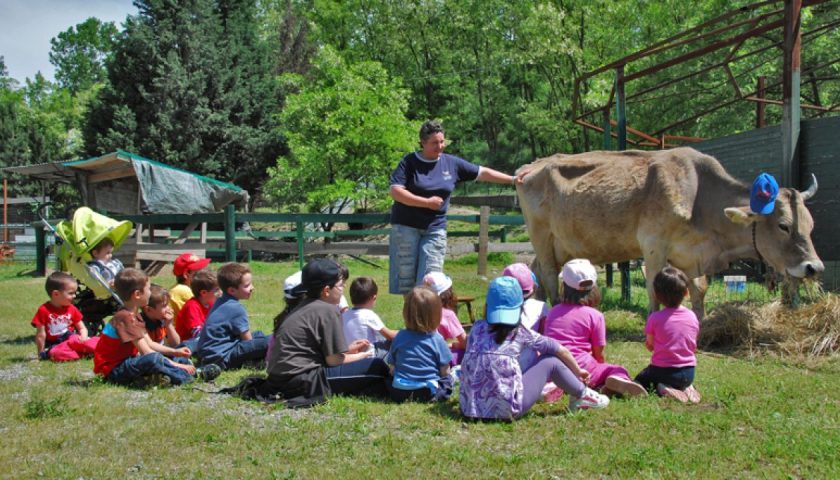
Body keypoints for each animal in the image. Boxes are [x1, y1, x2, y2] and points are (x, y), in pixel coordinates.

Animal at [516, 147, 824, 318]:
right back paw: (555, 308)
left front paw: (702, 321)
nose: (814, 267)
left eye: (811, 226)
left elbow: (699, 289)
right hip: (541, 234)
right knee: (548, 273)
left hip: (560, 244)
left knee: (538, 270)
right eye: (783, 226)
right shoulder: (653, 244)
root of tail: (530, 167)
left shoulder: (692, 255)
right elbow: (653, 285)